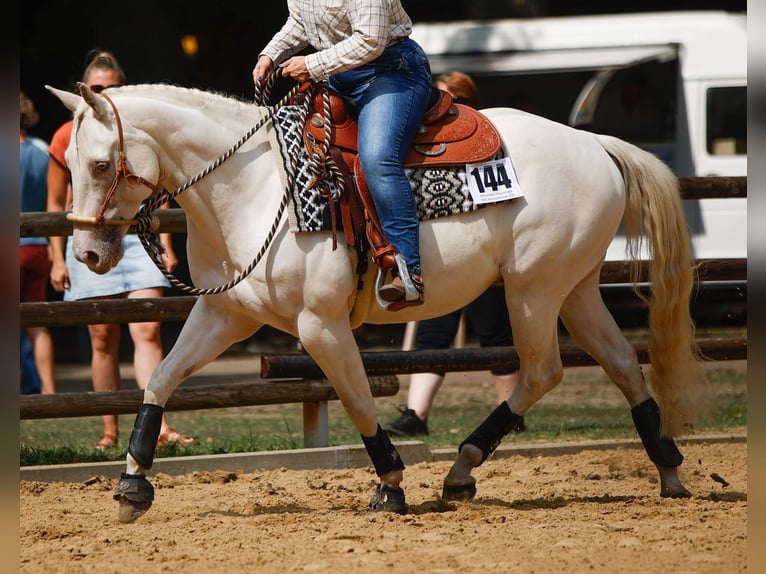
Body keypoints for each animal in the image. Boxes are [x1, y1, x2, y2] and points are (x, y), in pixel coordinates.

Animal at [47, 81, 705, 523]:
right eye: (68, 162)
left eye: (101, 163)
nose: (87, 255)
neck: (253, 187)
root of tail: (593, 144)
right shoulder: (223, 315)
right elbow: (160, 379)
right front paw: (133, 485)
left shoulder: (320, 325)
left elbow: (359, 400)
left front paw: (390, 484)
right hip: (575, 289)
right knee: (622, 364)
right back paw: (669, 469)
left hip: (533, 291)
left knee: (543, 370)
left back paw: (462, 468)